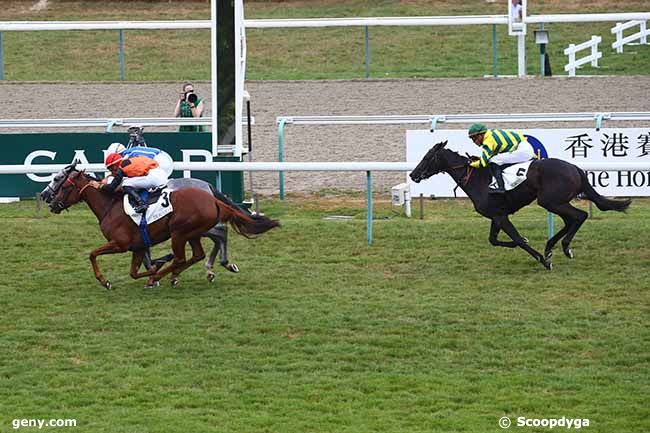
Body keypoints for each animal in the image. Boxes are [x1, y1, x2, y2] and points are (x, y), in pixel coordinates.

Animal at [41, 164, 280, 288]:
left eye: (60, 182)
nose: (48, 200)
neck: (110, 205)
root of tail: (211, 195)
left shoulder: (120, 243)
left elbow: (92, 254)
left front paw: (104, 280)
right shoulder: (138, 246)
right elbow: (135, 271)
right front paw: (155, 269)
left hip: (179, 232)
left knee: (190, 253)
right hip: (192, 232)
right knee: (199, 252)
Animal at [410, 142, 628, 268]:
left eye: (427, 157)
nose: (413, 175)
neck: (477, 179)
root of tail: (575, 167)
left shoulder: (500, 216)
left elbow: (515, 238)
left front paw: (543, 260)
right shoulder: (496, 215)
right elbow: (493, 240)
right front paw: (533, 247)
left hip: (550, 201)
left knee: (580, 216)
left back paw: (563, 248)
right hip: (555, 201)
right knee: (571, 220)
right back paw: (551, 247)